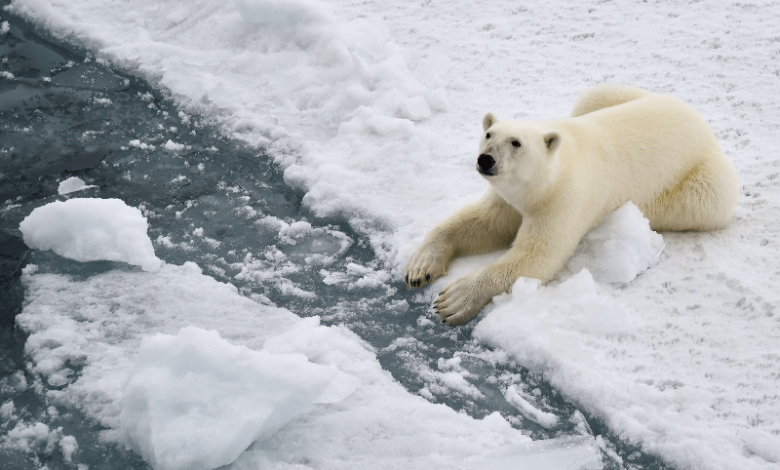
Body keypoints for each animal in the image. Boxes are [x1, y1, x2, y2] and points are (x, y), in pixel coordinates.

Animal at [406, 84, 740, 324]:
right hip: (620, 96)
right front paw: (419, 267)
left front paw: (453, 300)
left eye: (516, 143)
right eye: (488, 134)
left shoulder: (564, 200)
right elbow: (482, 223)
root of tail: (700, 121)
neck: (550, 174)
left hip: (701, 185)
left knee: (703, 203)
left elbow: (537, 256)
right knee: (596, 93)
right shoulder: (509, 199)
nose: (486, 159)